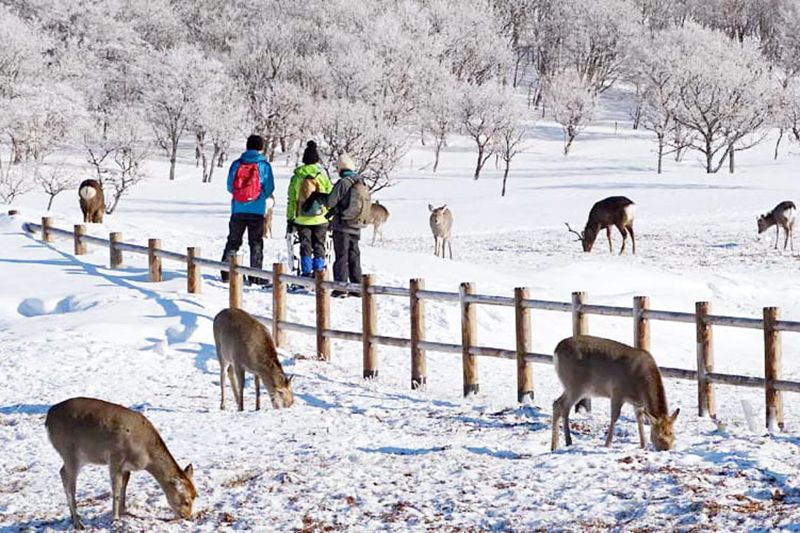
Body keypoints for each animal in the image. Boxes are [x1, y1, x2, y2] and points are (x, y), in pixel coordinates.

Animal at [46, 394, 197, 528]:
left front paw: (124, 512)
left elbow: (125, 484)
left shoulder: (126, 467)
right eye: (186, 501)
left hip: (80, 457)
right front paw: (115, 518)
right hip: (70, 452)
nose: (187, 516)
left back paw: (73, 517)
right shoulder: (115, 458)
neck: (146, 457)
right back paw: (78, 523)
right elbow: (116, 489)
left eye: (196, 496)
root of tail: (47, 419)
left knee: (62, 472)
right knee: (70, 484)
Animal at [552, 334, 680, 450]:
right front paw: (607, 444)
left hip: (571, 386)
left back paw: (554, 445)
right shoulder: (617, 391)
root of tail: (556, 350)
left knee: (556, 403)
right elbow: (614, 417)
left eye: (673, 435)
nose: (666, 449)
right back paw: (568, 441)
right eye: (659, 437)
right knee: (564, 406)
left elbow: (640, 420)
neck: (641, 388)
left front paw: (643, 445)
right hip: (576, 384)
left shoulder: (638, 404)